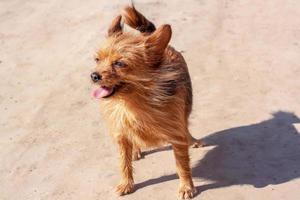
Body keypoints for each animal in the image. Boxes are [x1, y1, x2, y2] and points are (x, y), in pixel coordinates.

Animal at [91, 5, 204, 199]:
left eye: (119, 64)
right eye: (97, 60)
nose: (94, 75)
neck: (132, 103)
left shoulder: (176, 134)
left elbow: (182, 164)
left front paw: (186, 186)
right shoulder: (121, 135)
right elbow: (124, 163)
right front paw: (126, 183)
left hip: (187, 105)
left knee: (185, 123)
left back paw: (192, 139)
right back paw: (135, 150)